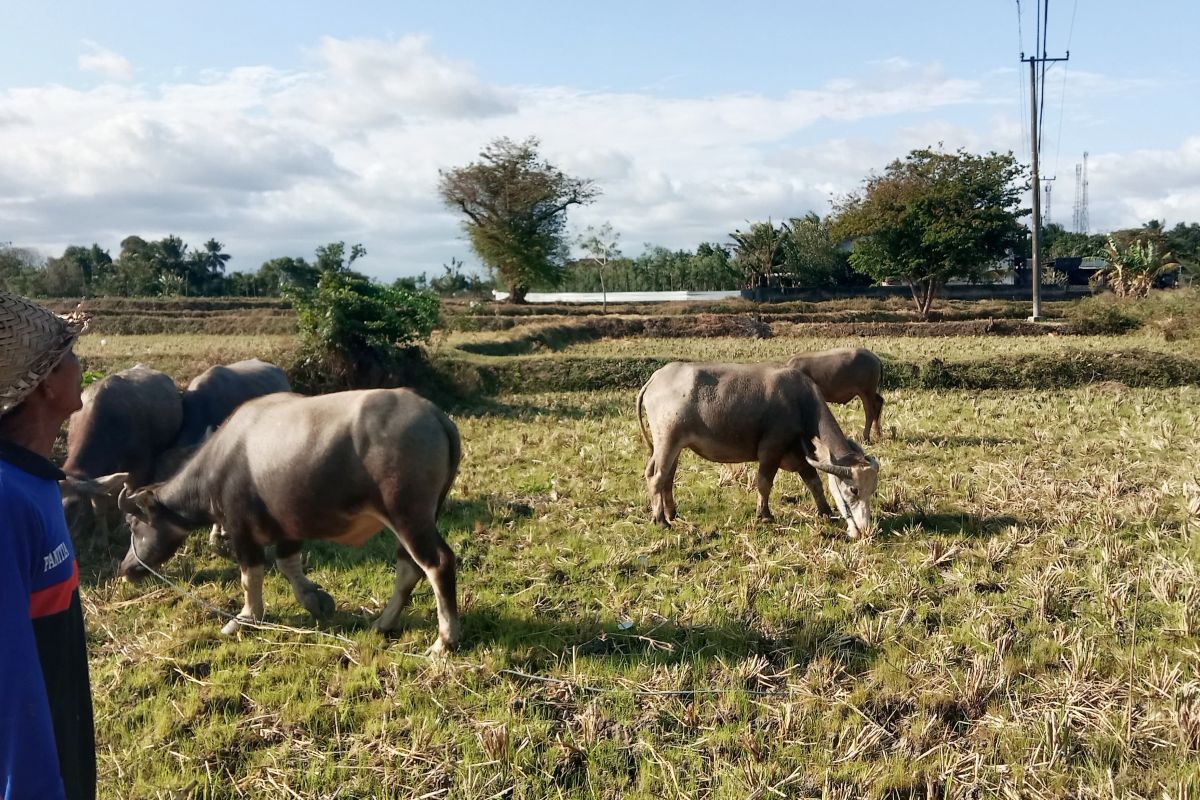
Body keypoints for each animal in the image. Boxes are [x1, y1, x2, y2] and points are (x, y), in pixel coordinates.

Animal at [59, 364, 182, 542]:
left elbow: (128, 495)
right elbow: (98, 504)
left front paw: (122, 528)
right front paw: (100, 536)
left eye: (73, 504)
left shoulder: (139, 468)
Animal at [109, 388, 463, 657]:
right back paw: (383, 623)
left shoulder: (241, 530)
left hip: (407, 516)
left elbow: (250, 576)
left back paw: (444, 641)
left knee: (438, 564)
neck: (221, 463)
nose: (126, 568)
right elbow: (288, 564)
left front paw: (246, 618)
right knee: (409, 567)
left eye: (133, 524)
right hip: (421, 517)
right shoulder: (289, 527)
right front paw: (315, 599)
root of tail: (435, 414)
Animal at [638, 362, 883, 537]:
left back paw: (671, 513)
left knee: (667, 476)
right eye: (853, 490)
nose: (865, 528)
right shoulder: (771, 451)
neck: (800, 404)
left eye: (873, 490)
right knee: (656, 476)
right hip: (667, 441)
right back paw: (660, 520)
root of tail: (656, 377)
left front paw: (825, 512)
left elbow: (815, 483)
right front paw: (764, 515)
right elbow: (764, 483)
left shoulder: (800, 456)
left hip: (673, 446)